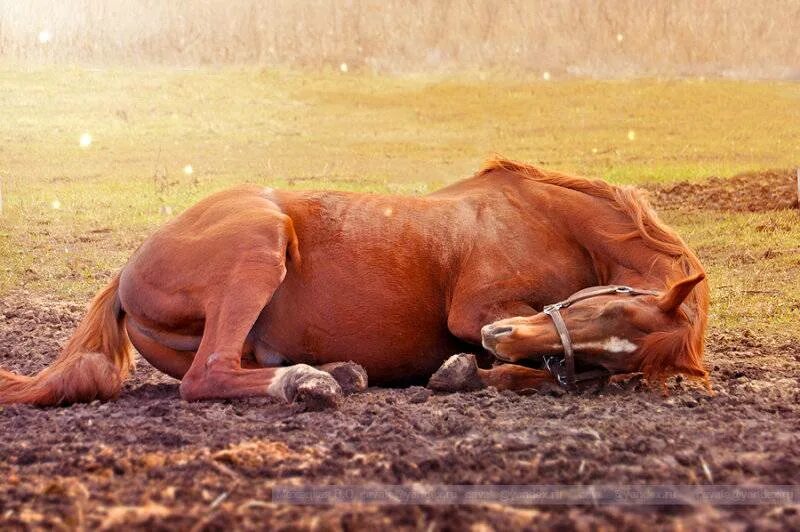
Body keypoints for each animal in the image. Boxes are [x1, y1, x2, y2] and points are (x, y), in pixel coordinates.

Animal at [0, 158, 712, 408]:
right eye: (603, 313)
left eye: (615, 343)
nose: (501, 337)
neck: (553, 218)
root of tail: (126, 272)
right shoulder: (477, 308)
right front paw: (469, 368)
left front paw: (470, 372)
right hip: (257, 247)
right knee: (208, 376)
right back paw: (309, 383)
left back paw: (335, 372)